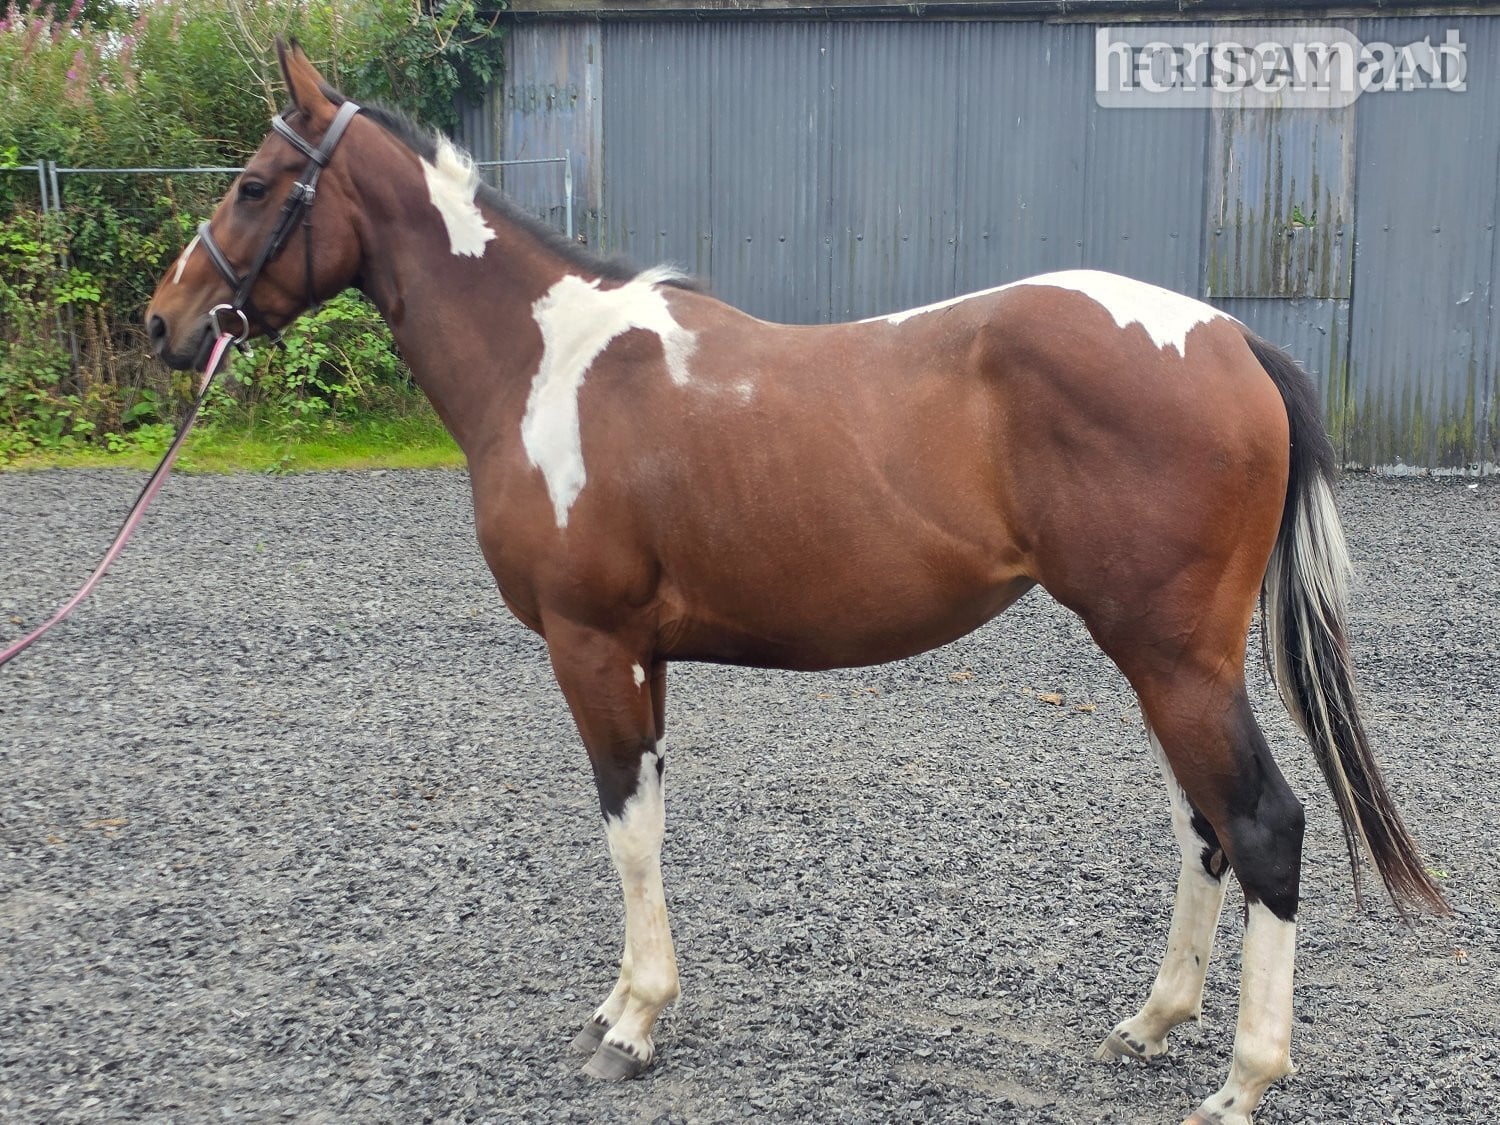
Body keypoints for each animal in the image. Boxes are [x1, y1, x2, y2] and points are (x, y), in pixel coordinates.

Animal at [144, 40, 1446, 1125]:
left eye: (255, 185)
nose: (165, 324)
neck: (548, 364)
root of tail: (1230, 339)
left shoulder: (590, 644)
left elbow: (626, 827)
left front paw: (632, 1025)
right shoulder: (642, 654)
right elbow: (647, 820)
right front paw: (626, 1004)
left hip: (1172, 657)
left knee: (1262, 826)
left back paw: (1242, 1082)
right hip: (1170, 662)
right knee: (1205, 828)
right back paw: (1150, 1024)